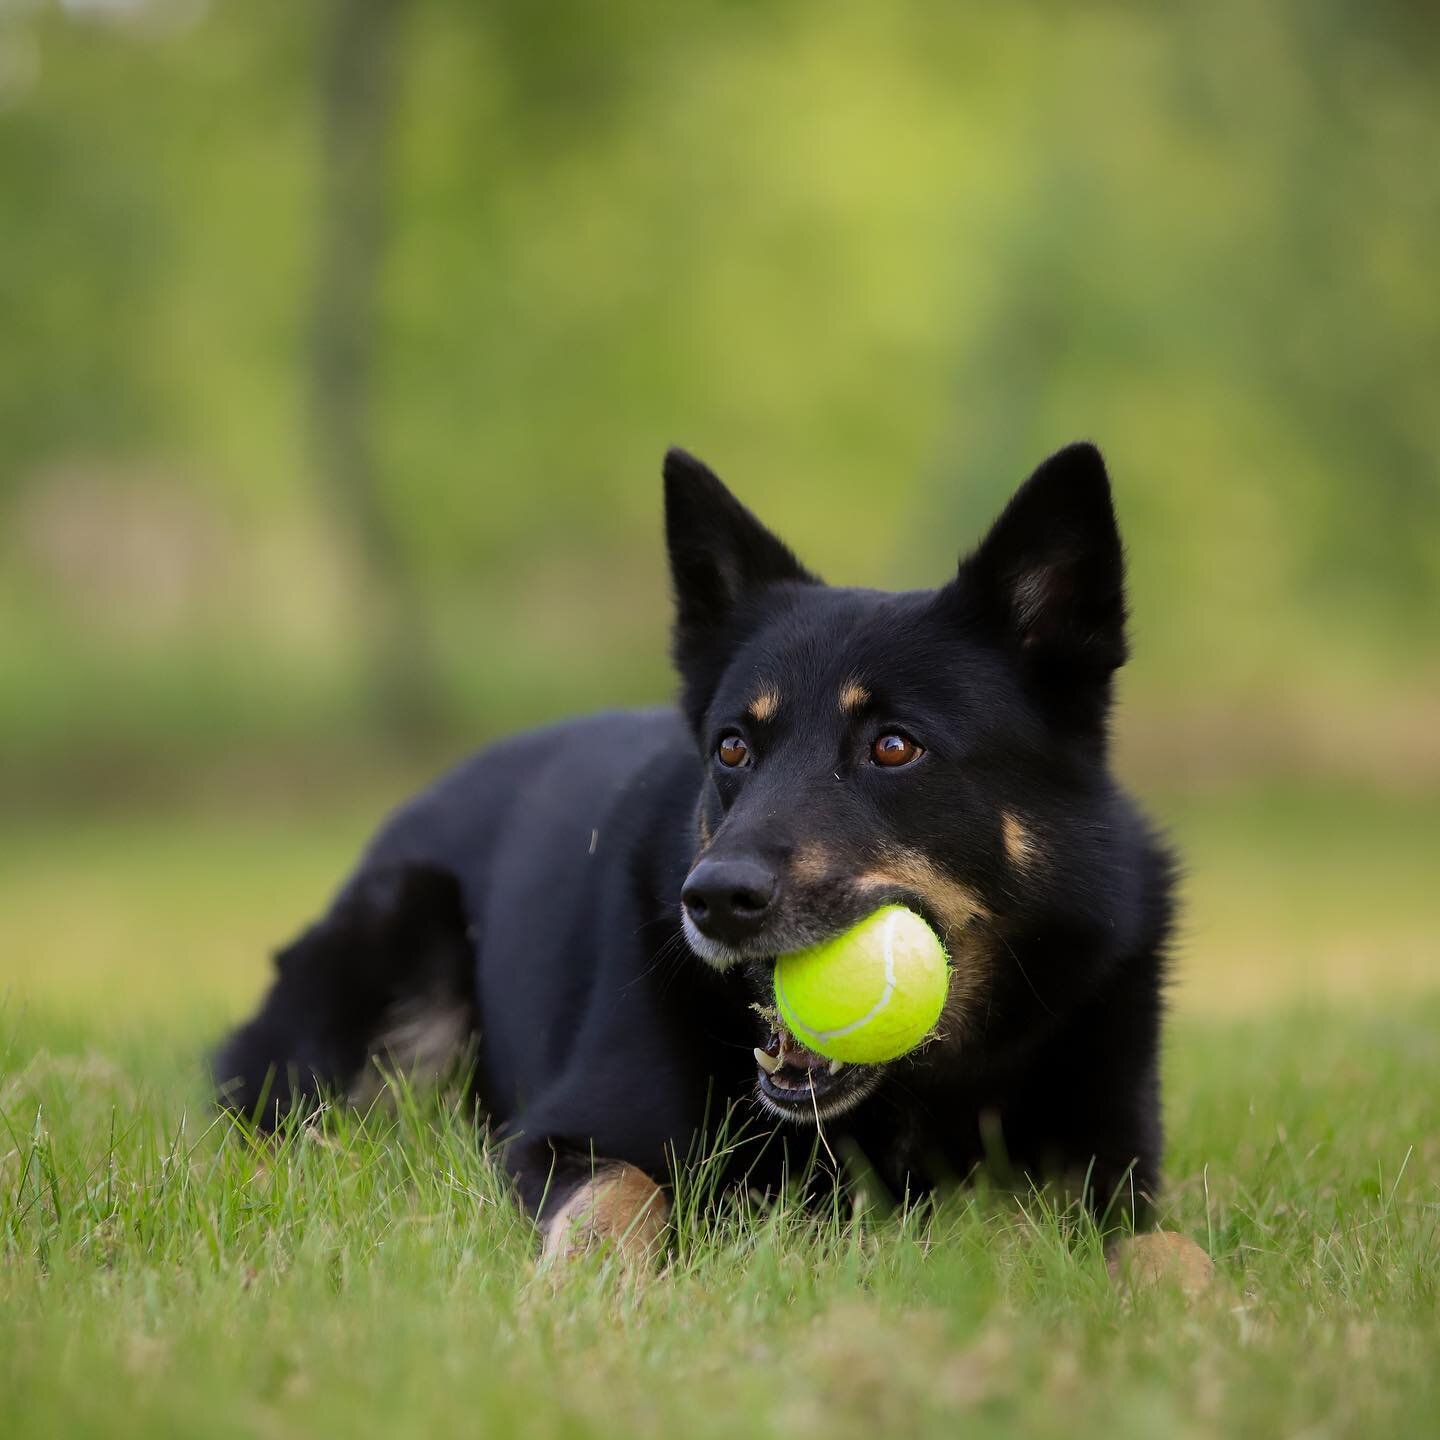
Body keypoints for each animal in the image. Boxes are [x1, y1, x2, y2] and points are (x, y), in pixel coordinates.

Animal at [216, 437, 1180, 1261]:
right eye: (733, 749)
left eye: (893, 746)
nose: (712, 900)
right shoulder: (558, 1137)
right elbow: (619, 1196)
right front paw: (590, 1290)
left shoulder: (1109, 1184)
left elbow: (1157, 1245)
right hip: (401, 926)